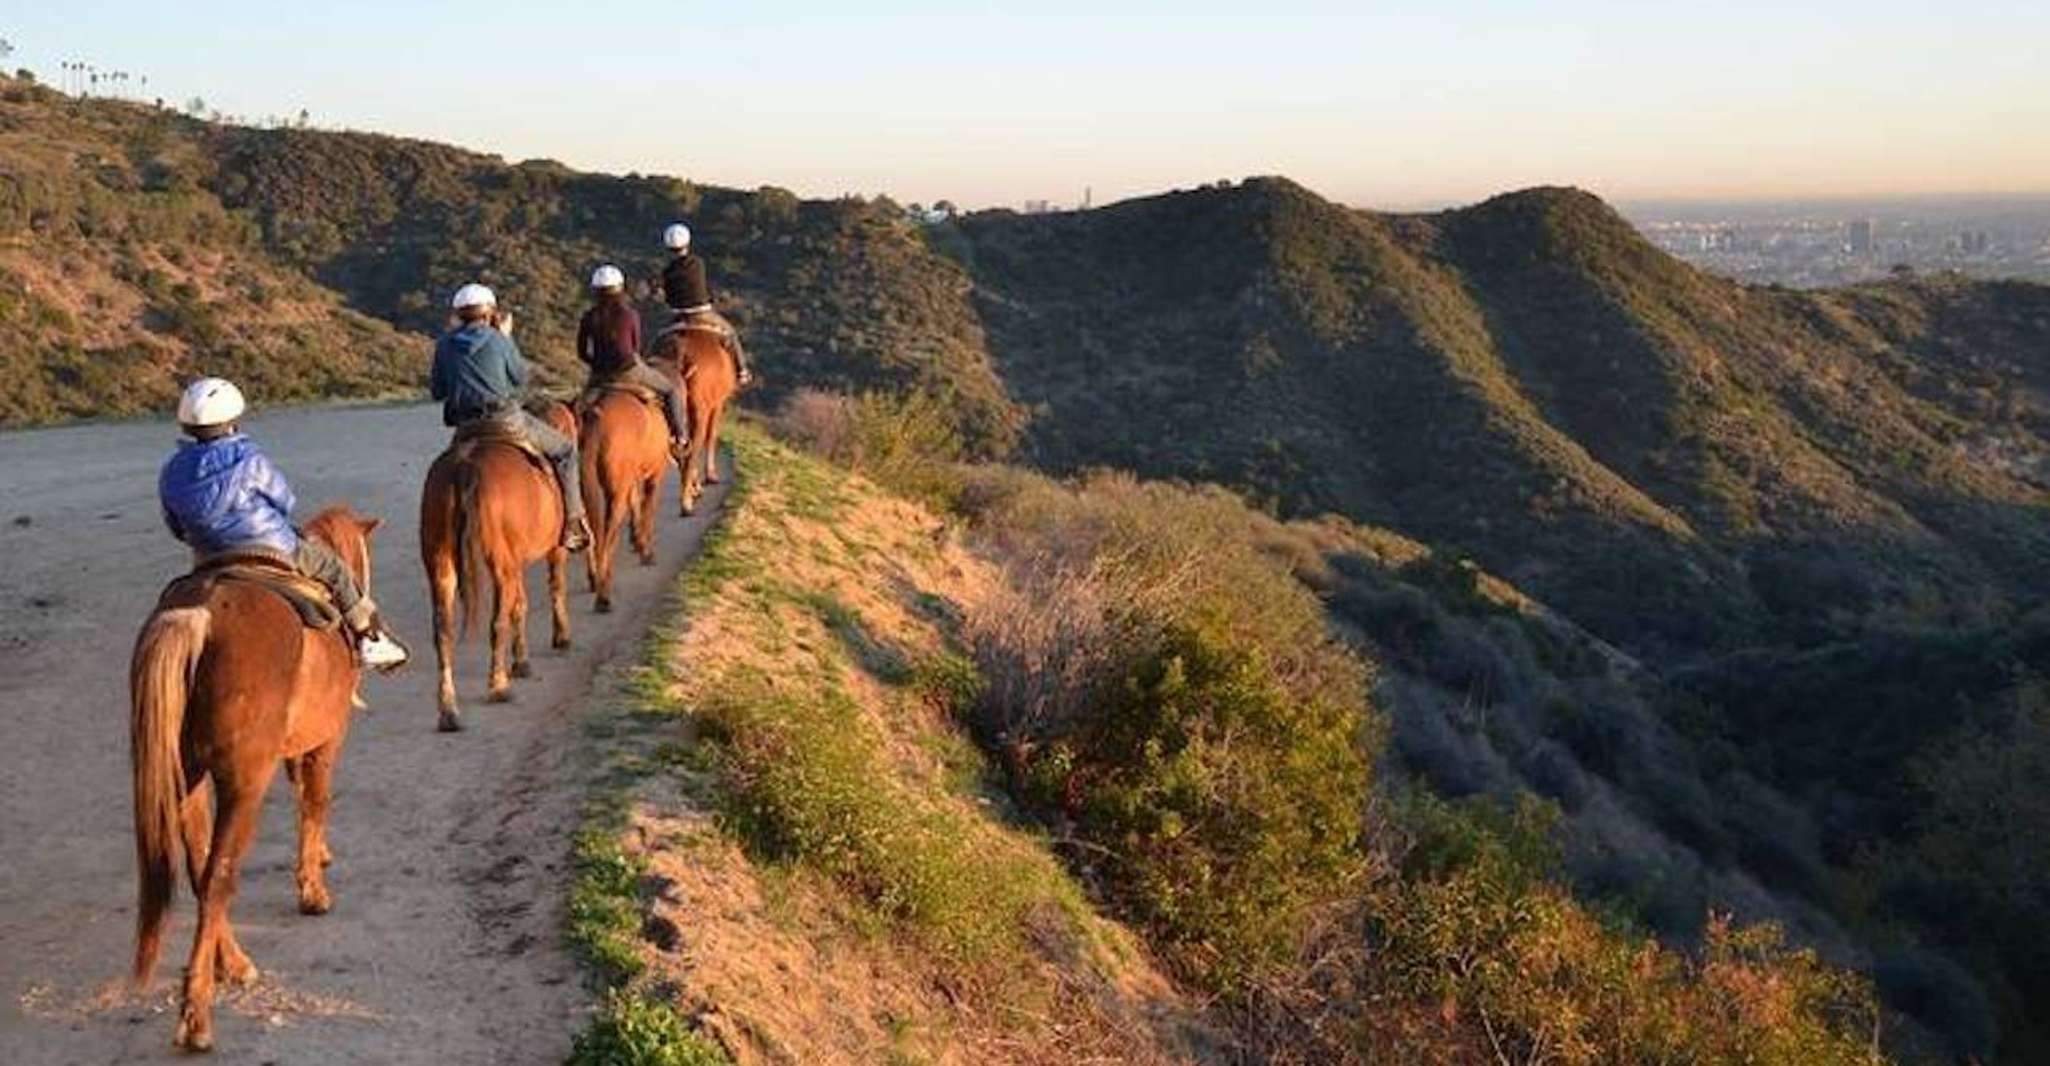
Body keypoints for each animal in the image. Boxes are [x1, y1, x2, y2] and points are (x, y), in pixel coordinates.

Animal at [129, 506, 387, 1053]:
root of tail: (200, 617)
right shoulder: (326, 740)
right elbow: (316, 800)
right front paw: (313, 890)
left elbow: (303, 796)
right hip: (243, 783)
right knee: (219, 875)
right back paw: (197, 1017)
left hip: (186, 779)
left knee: (201, 868)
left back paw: (232, 965)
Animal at [419, 402, 577, 731]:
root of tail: (464, 466)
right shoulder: (551, 552)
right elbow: (554, 588)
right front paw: (560, 638)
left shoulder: (516, 563)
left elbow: (520, 605)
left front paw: (522, 660)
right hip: (501, 565)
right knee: (496, 622)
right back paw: (498, 685)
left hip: (441, 563)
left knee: (443, 630)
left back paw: (448, 709)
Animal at [577, 383, 671, 613]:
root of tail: (596, 415)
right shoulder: (654, 477)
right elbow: (647, 512)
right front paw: (646, 552)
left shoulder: (632, 481)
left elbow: (636, 506)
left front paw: (638, 543)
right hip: (615, 493)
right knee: (606, 535)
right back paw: (603, 596)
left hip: (584, 487)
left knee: (591, 530)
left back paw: (595, 580)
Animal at [649, 324, 737, 516]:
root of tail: (678, 354)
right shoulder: (717, 404)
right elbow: (710, 436)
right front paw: (709, 477)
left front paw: (695, 486)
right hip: (699, 409)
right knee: (693, 447)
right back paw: (686, 503)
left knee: (679, 447)